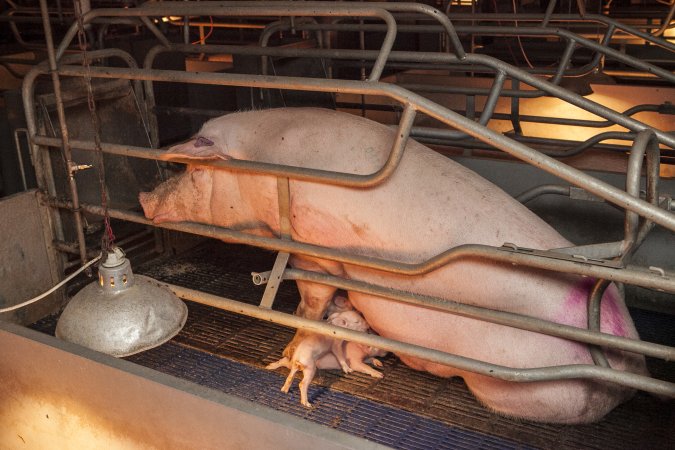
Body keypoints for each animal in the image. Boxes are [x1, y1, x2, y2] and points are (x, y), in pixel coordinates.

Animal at [139, 107, 648, 424]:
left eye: (193, 169)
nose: (144, 198)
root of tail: (628, 366)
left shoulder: (312, 248)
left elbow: (312, 299)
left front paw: (295, 335)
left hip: (509, 383)